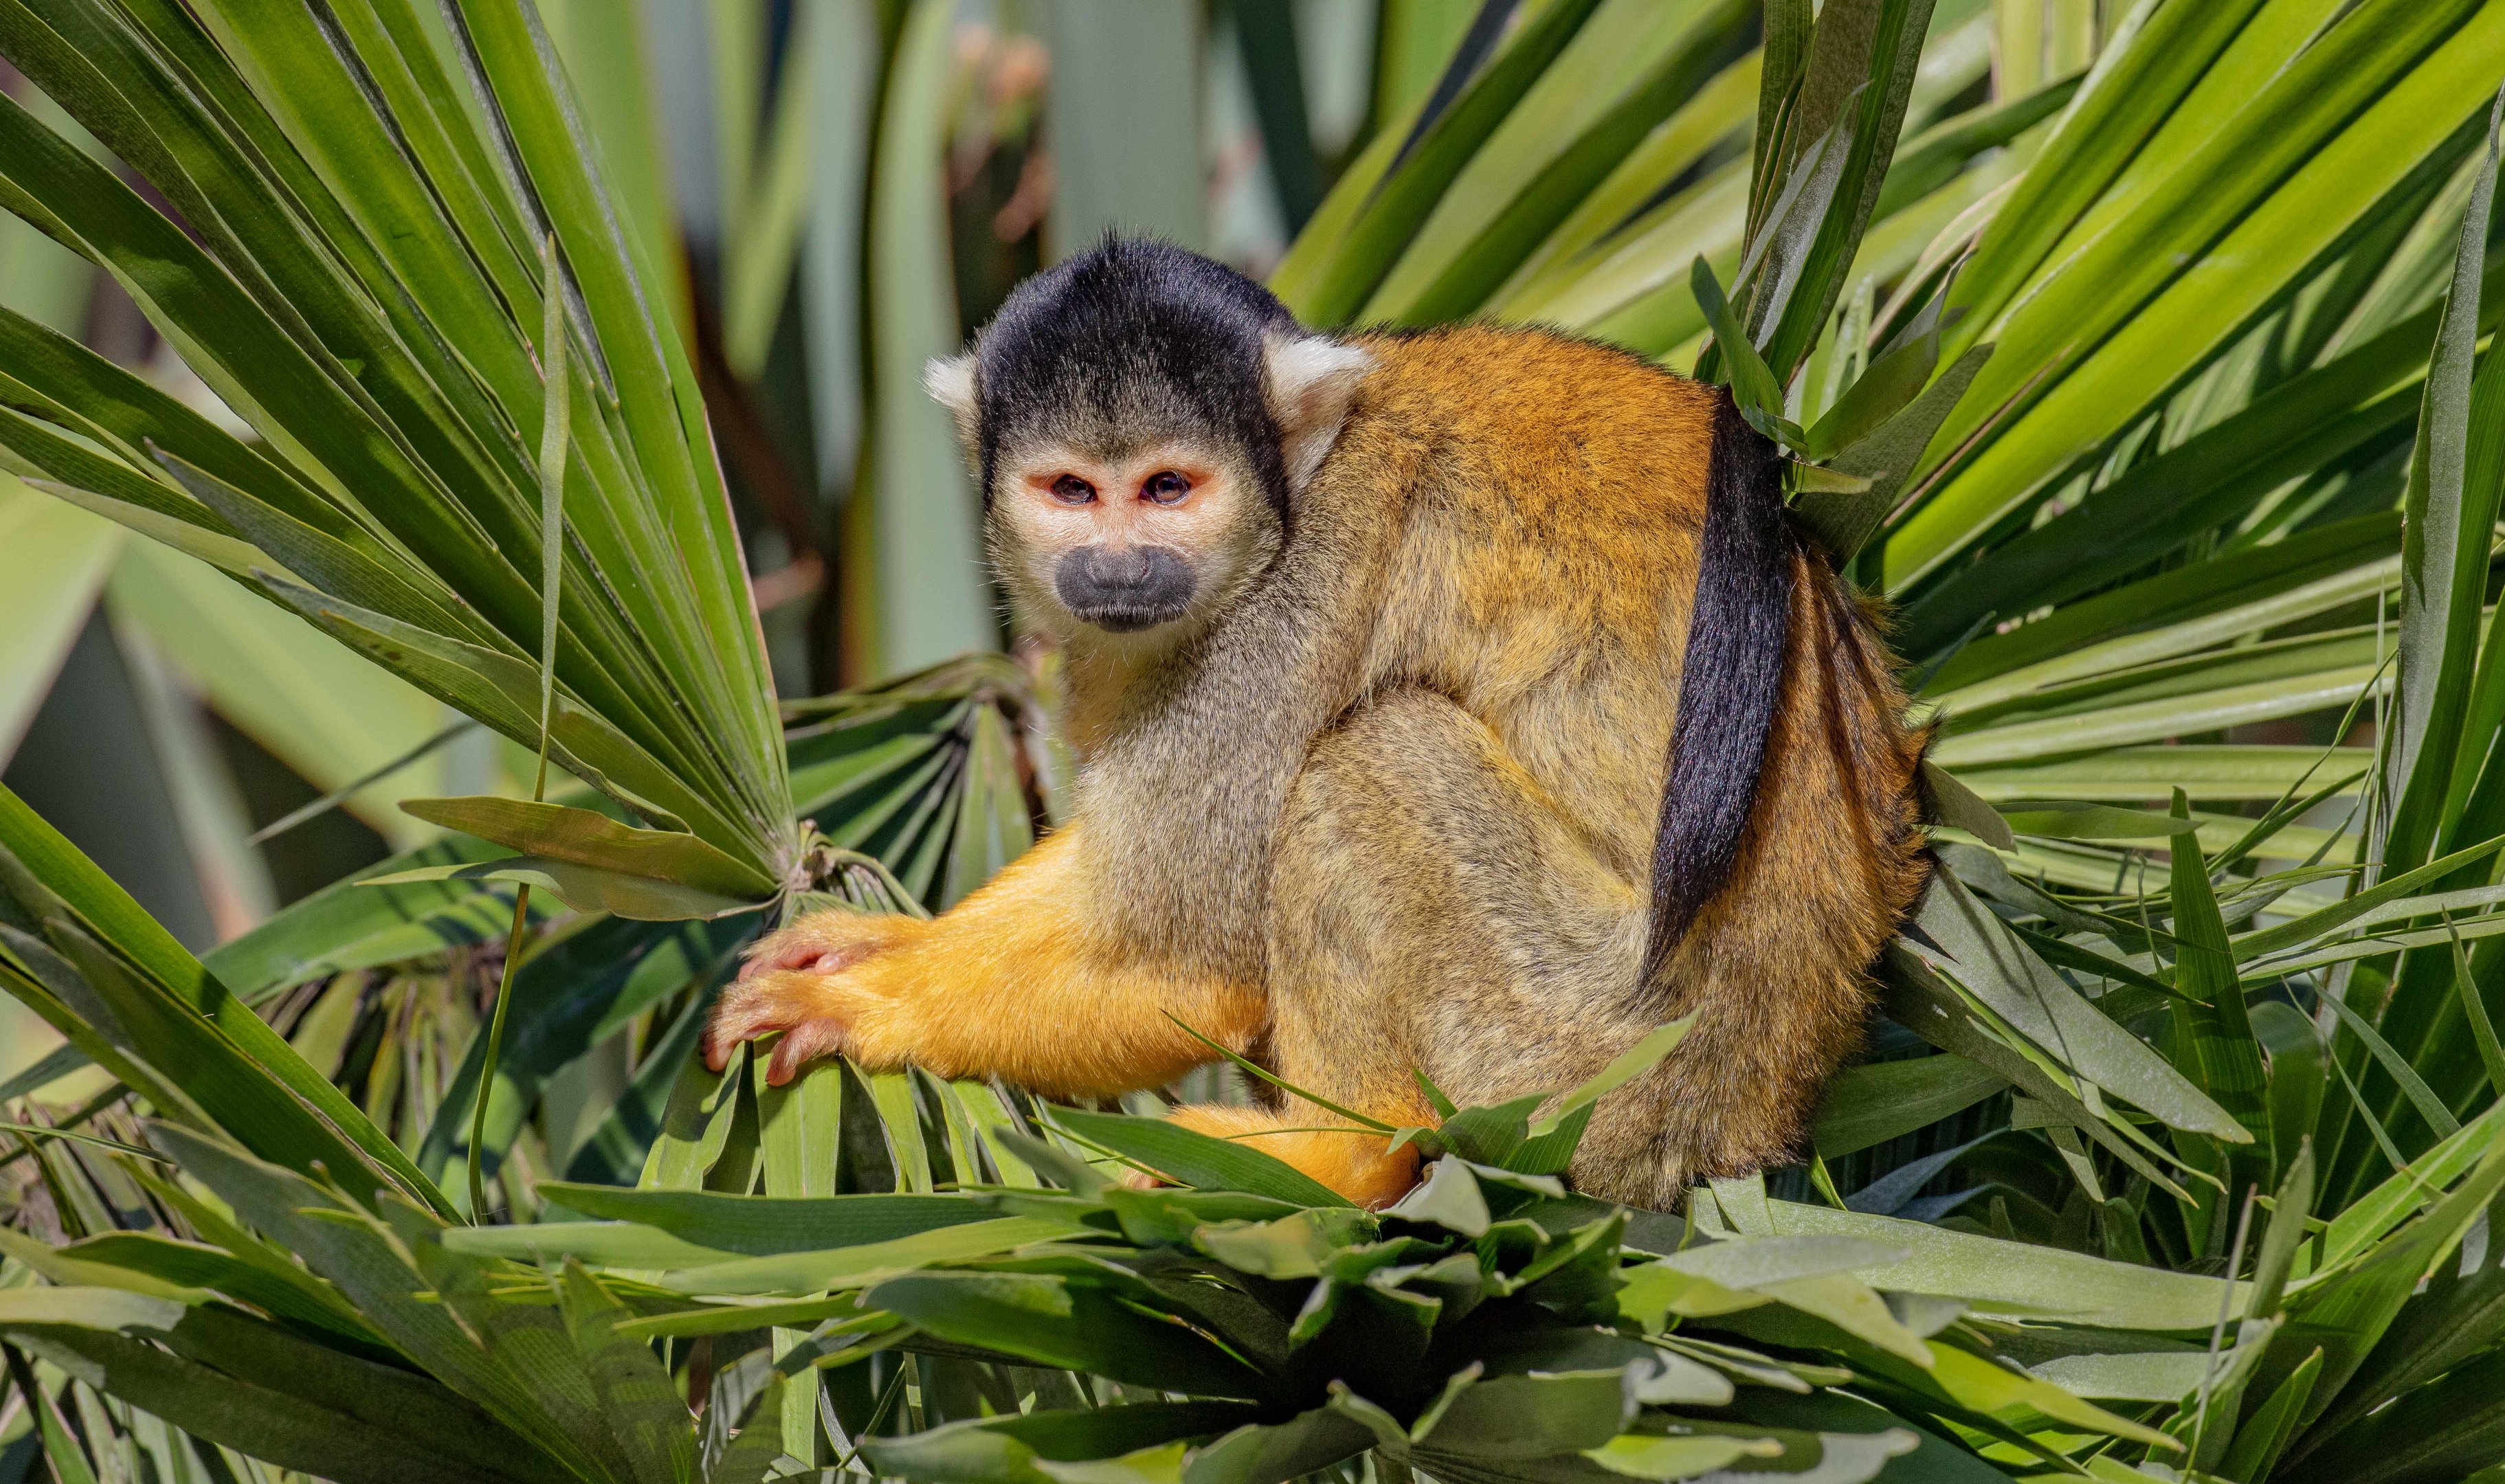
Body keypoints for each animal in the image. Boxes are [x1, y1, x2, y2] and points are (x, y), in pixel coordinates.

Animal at [703, 238, 1928, 1211]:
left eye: (1166, 489)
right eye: (1070, 491)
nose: (1116, 567)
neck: (1293, 495)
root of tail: (1738, 1111)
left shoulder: (1290, 611)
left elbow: (1189, 966)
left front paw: (876, 1005)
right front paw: (888, 947)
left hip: (1581, 1057)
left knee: (1364, 764)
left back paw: (1343, 1148)